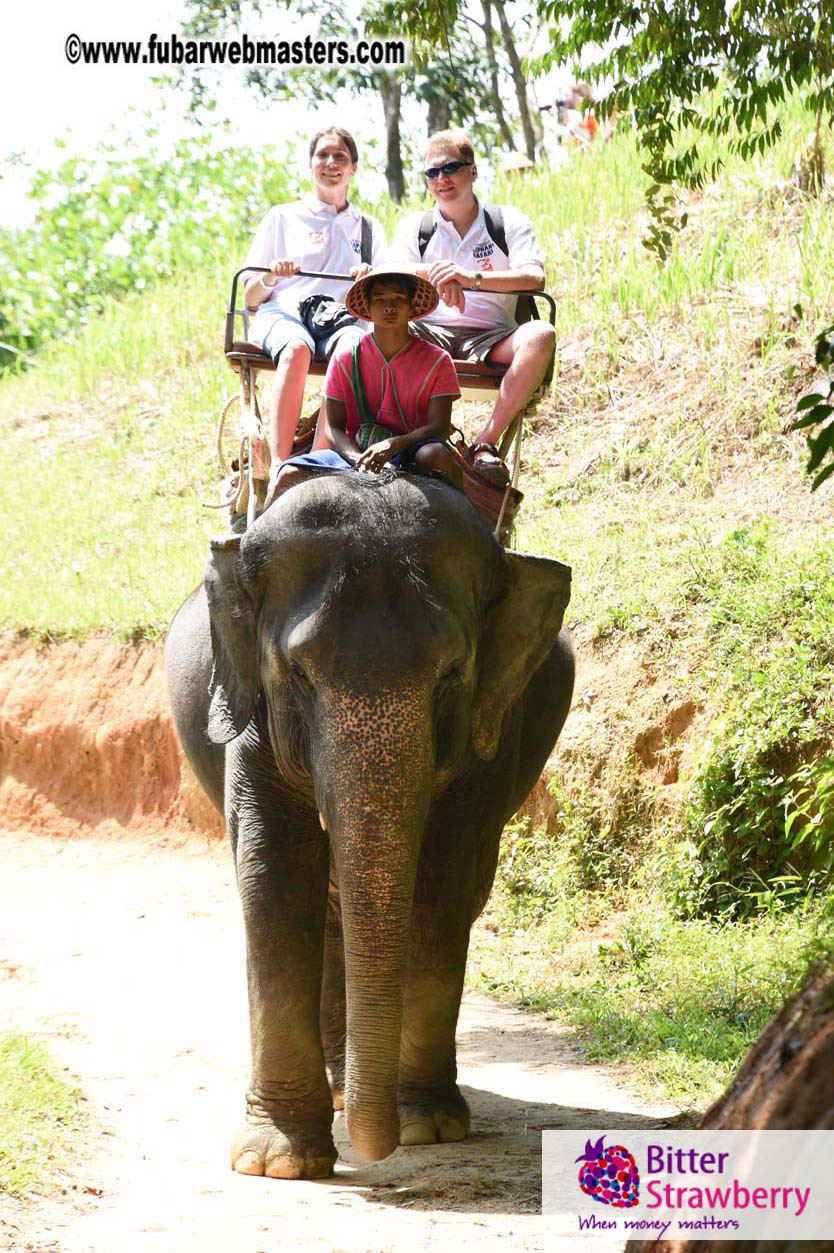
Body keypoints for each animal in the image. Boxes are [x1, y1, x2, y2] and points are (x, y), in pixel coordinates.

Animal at [165, 468, 574, 1180]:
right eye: (298, 674)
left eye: (451, 675)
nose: (373, 1151)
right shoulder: (252, 722)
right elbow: (275, 880)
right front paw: (279, 1163)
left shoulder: (492, 729)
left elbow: (442, 883)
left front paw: (426, 1127)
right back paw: (336, 1090)